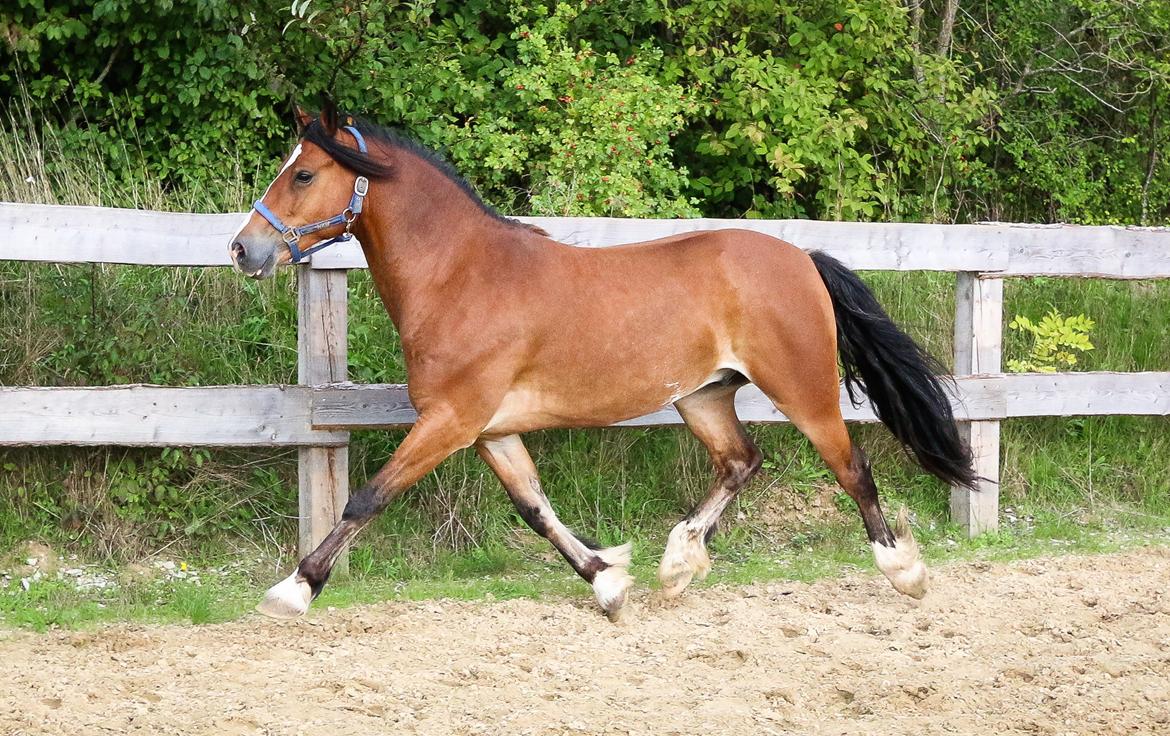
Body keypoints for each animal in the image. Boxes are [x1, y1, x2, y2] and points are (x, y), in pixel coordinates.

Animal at [230, 103, 978, 617]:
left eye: (303, 173)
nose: (244, 249)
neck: (461, 276)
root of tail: (802, 259)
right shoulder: (490, 429)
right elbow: (535, 508)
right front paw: (609, 582)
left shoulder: (450, 420)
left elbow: (367, 497)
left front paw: (293, 590)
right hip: (703, 395)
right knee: (740, 462)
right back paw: (678, 564)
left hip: (804, 388)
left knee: (852, 469)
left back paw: (903, 573)